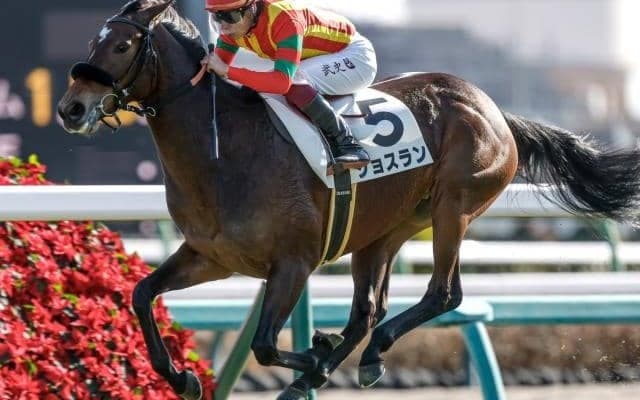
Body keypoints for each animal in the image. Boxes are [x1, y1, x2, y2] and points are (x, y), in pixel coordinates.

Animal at [57, 1, 640, 399]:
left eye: (122, 46)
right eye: (92, 41)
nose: (70, 108)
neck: (226, 153)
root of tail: (495, 109)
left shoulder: (293, 262)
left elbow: (264, 343)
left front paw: (312, 357)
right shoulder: (212, 256)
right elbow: (141, 294)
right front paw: (183, 377)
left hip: (454, 206)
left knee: (443, 294)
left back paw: (363, 354)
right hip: (383, 231)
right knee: (367, 310)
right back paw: (350, 361)